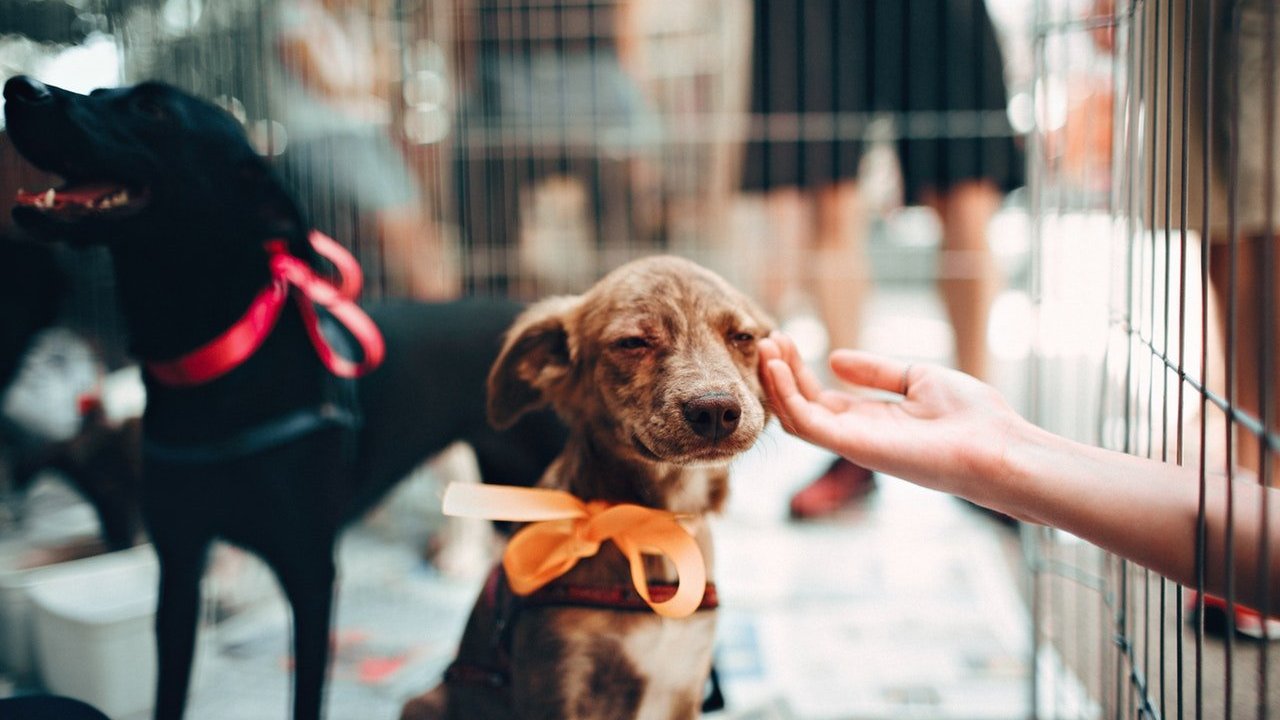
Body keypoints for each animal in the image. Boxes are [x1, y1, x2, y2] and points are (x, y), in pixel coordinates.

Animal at [5, 75, 563, 712]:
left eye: (151, 107)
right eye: (99, 91)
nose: (19, 88)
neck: (215, 365)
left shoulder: (310, 573)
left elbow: (306, 697)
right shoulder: (179, 568)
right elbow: (171, 689)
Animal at [404, 254, 773, 712]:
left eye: (742, 337)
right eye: (632, 343)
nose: (716, 411)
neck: (651, 527)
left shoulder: (684, 684)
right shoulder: (560, 679)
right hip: (425, 702)